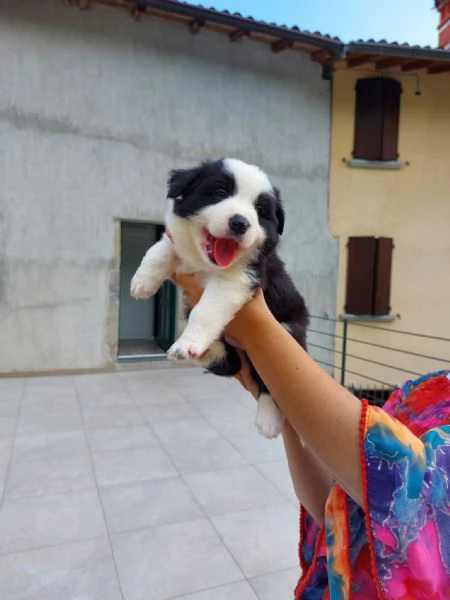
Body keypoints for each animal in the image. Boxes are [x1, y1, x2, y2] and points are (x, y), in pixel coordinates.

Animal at [130, 159, 310, 438]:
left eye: (260, 210)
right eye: (219, 193)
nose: (240, 223)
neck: (206, 264)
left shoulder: (238, 280)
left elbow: (206, 310)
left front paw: (188, 342)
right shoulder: (178, 243)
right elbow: (160, 249)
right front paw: (142, 283)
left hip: (289, 330)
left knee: (269, 381)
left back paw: (268, 419)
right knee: (230, 363)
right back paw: (206, 351)